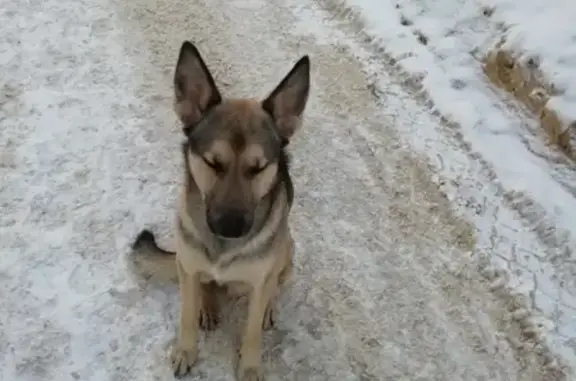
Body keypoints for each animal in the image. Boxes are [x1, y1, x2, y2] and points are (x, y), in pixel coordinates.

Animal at [130, 40, 310, 380]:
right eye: (213, 163)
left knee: (273, 282)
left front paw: (250, 367)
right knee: (205, 286)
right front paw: (186, 351)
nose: (230, 227)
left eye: (258, 168)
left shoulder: (261, 278)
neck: (222, 250)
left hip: (288, 249)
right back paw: (208, 303)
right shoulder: (188, 266)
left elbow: (252, 331)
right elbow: (186, 316)